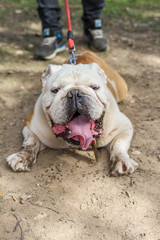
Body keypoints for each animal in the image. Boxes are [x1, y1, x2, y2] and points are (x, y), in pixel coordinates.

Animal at [6, 50, 138, 175]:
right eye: (55, 90)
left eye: (94, 87)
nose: (74, 93)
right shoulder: (29, 126)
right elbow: (31, 142)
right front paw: (22, 157)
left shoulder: (125, 127)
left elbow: (119, 144)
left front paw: (121, 160)